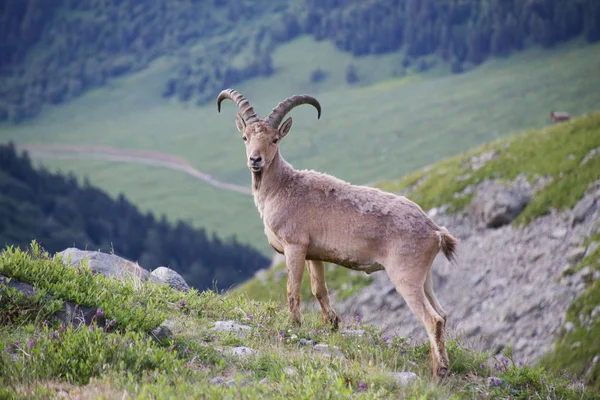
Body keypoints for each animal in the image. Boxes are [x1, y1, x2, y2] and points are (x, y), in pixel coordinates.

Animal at [218, 87, 458, 378]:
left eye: (274, 139)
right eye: (245, 137)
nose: (255, 160)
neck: (282, 188)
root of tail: (436, 231)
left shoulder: (295, 246)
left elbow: (292, 289)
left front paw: (293, 325)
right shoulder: (314, 254)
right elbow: (319, 289)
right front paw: (331, 324)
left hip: (405, 275)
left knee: (432, 319)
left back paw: (439, 372)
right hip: (425, 277)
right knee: (442, 314)